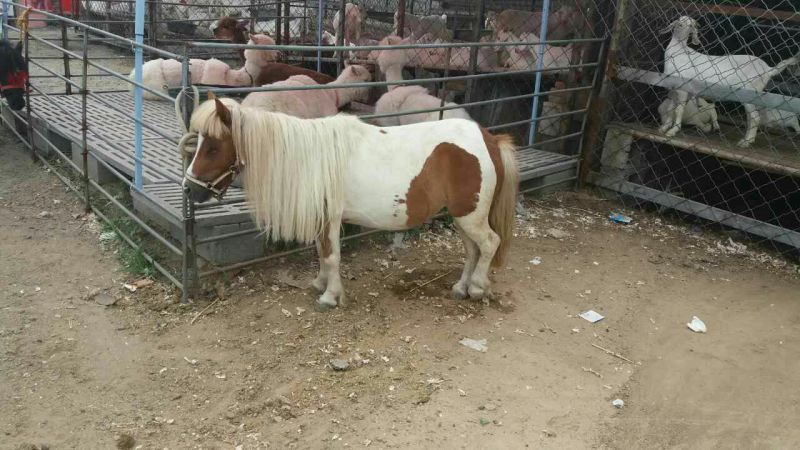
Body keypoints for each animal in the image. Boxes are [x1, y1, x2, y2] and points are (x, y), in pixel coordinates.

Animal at [183, 93, 519, 310]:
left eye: (213, 146)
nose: (188, 189)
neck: (308, 157)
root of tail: (489, 139)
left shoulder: (331, 218)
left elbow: (331, 256)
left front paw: (330, 297)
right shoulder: (323, 219)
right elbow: (322, 254)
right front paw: (320, 284)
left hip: (470, 216)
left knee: (489, 244)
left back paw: (477, 287)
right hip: (463, 216)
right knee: (472, 249)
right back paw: (461, 287)